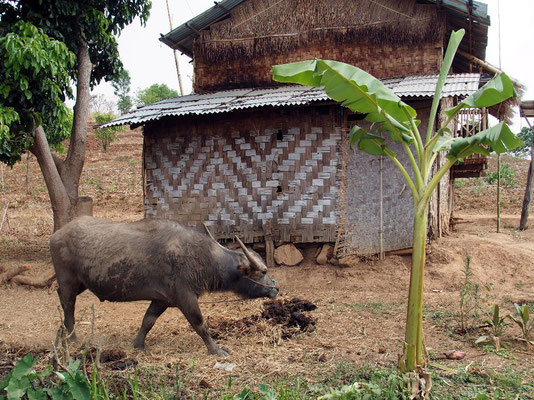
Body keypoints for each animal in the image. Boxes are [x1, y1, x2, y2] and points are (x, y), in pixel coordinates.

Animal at [50, 217, 280, 358]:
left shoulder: (161, 300)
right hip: (69, 281)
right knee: (67, 303)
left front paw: (139, 345)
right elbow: (201, 325)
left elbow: (147, 321)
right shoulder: (186, 299)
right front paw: (216, 350)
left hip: (81, 283)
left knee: (61, 296)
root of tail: (58, 234)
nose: (275, 289)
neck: (200, 257)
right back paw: (72, 337)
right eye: (263, 271)